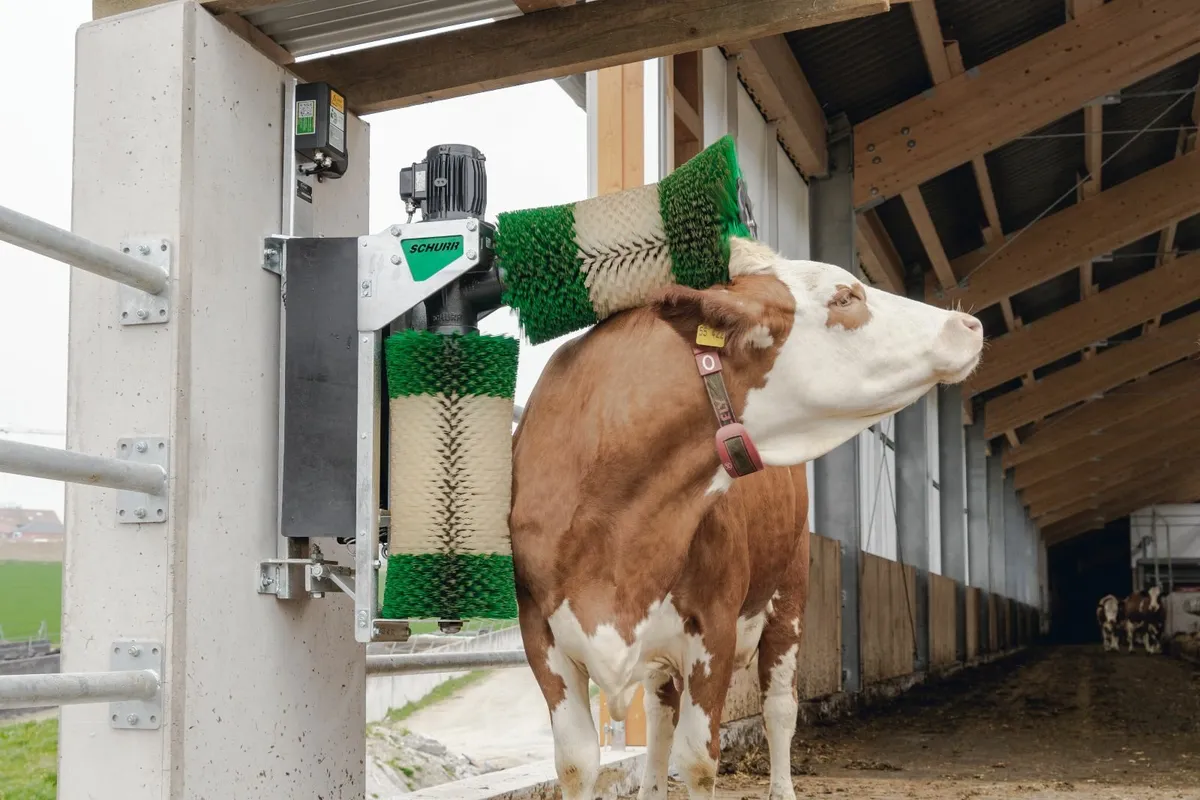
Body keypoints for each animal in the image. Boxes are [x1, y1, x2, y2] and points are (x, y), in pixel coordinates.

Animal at [510, 236, 984, 800]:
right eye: (845, 296)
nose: (968, 324)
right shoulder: (542, 637)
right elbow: (577, 762)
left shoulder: (713, 628)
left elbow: (698, 759)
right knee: (661, 715)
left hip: (789, 597)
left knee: (779, 709)